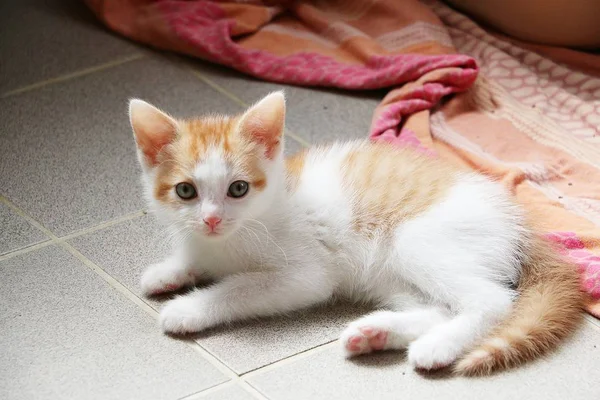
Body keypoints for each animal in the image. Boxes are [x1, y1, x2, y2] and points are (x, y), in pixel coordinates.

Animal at [129, 90, 584, 376]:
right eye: (185, 191)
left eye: (238, 188)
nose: (211, 219)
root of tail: (520, 221)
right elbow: (194, 257)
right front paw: (169, 271)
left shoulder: (305, 275)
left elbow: (239, 288)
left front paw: (190, 308)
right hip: (388, 274)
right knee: (439, 306)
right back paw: (376, 333)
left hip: (416, 240)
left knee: (491, 299)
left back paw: (436, 347)